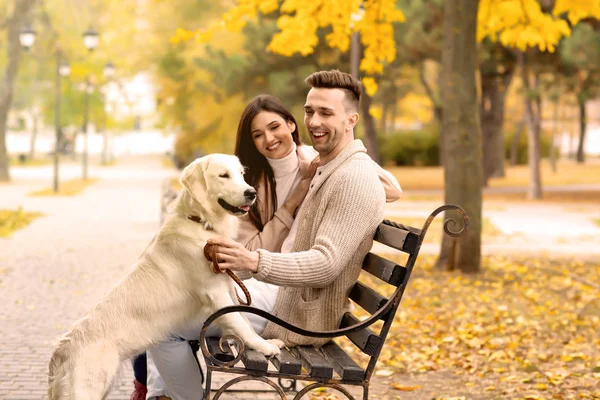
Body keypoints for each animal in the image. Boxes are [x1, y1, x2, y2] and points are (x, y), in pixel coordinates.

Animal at [48, 155, 282, 400]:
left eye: (241, 174)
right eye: (223, 175)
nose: (251, 193)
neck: (200, 223)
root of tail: (60, 352)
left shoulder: (228, 285)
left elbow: (243, 317)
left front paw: (263, 343)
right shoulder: (215, 292)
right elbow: (239, 321)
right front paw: (265, 347)